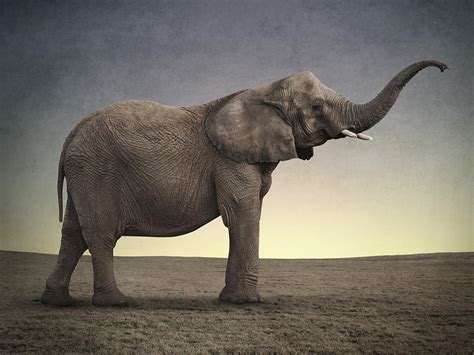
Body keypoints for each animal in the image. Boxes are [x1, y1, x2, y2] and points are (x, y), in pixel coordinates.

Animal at [41, 59, 448, 308]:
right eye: (317, 108)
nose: (444, 67)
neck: (263, 91)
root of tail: (70, 135)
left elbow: (245, 215)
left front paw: (231, 300)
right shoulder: (230, 160)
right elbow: (242, 214)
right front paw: (248, 303)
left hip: (84, 172)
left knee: (73, 233)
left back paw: (57, 303)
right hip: (97, 171)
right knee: (100, 235)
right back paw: (116, 303)